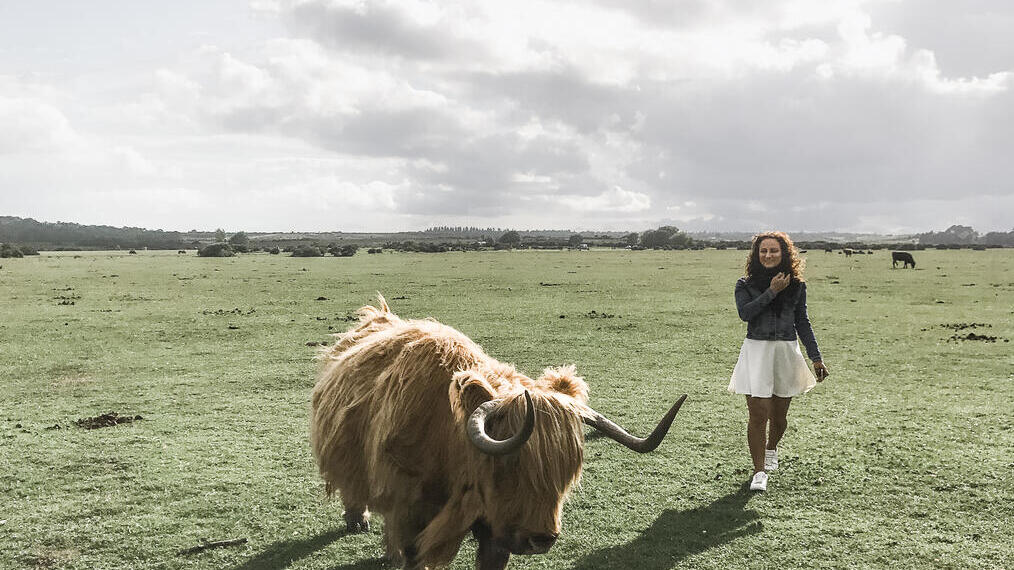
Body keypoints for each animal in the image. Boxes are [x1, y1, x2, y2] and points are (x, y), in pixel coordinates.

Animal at [310, 296, 686, 570]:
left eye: (568, 470)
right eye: (509, 464)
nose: (541, 539)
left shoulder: (496, 532)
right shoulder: (412, 514)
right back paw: (357, 520)